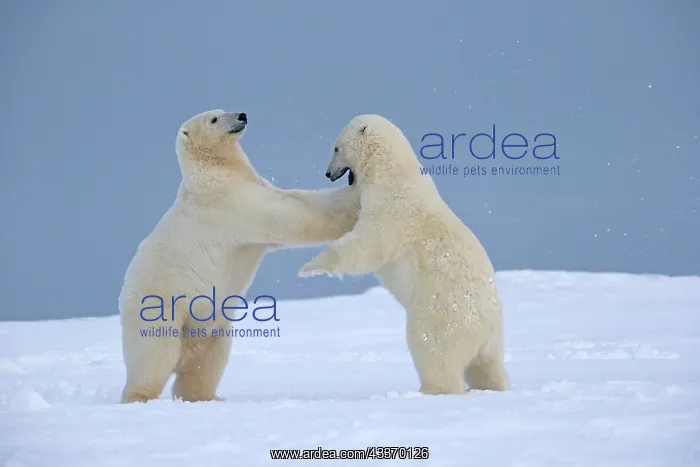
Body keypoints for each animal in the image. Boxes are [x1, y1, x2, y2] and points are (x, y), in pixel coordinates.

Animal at [119, 109, 360, 403]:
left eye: (224, 110)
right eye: (213, 119)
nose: (242, 115)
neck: (211, 176)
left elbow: (300, 199)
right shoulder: (232, 202)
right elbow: (293, 218)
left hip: (213, 325)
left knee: (205, 361)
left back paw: (207, 397)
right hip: (160, 307)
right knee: (154, 356)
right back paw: (138, 397)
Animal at [298, 114, 509, 395]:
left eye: (336, 148)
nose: (328, 173)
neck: (391, 171)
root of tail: (488, 322)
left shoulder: (392, 209)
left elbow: (368, 245)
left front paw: (310, 267)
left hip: (443, 313)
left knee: (432, 348)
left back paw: (430, 390)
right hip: (492, 340)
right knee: (487, 367)